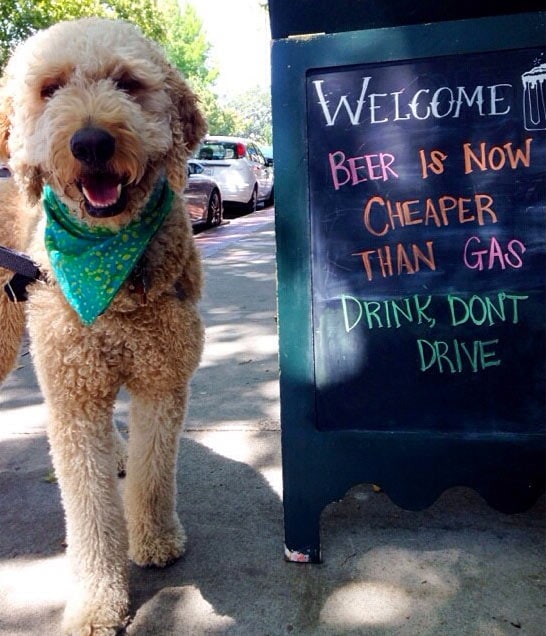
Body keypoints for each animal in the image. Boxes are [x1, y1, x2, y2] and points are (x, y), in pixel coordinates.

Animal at [0, 17, 206, 632]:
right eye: (49, 88)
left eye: (127, 83)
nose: (90, 143)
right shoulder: (72, 400)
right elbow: (89, 512)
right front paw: (96, 603)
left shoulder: (163, 380)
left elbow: (153, 473)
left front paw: (155, 539)